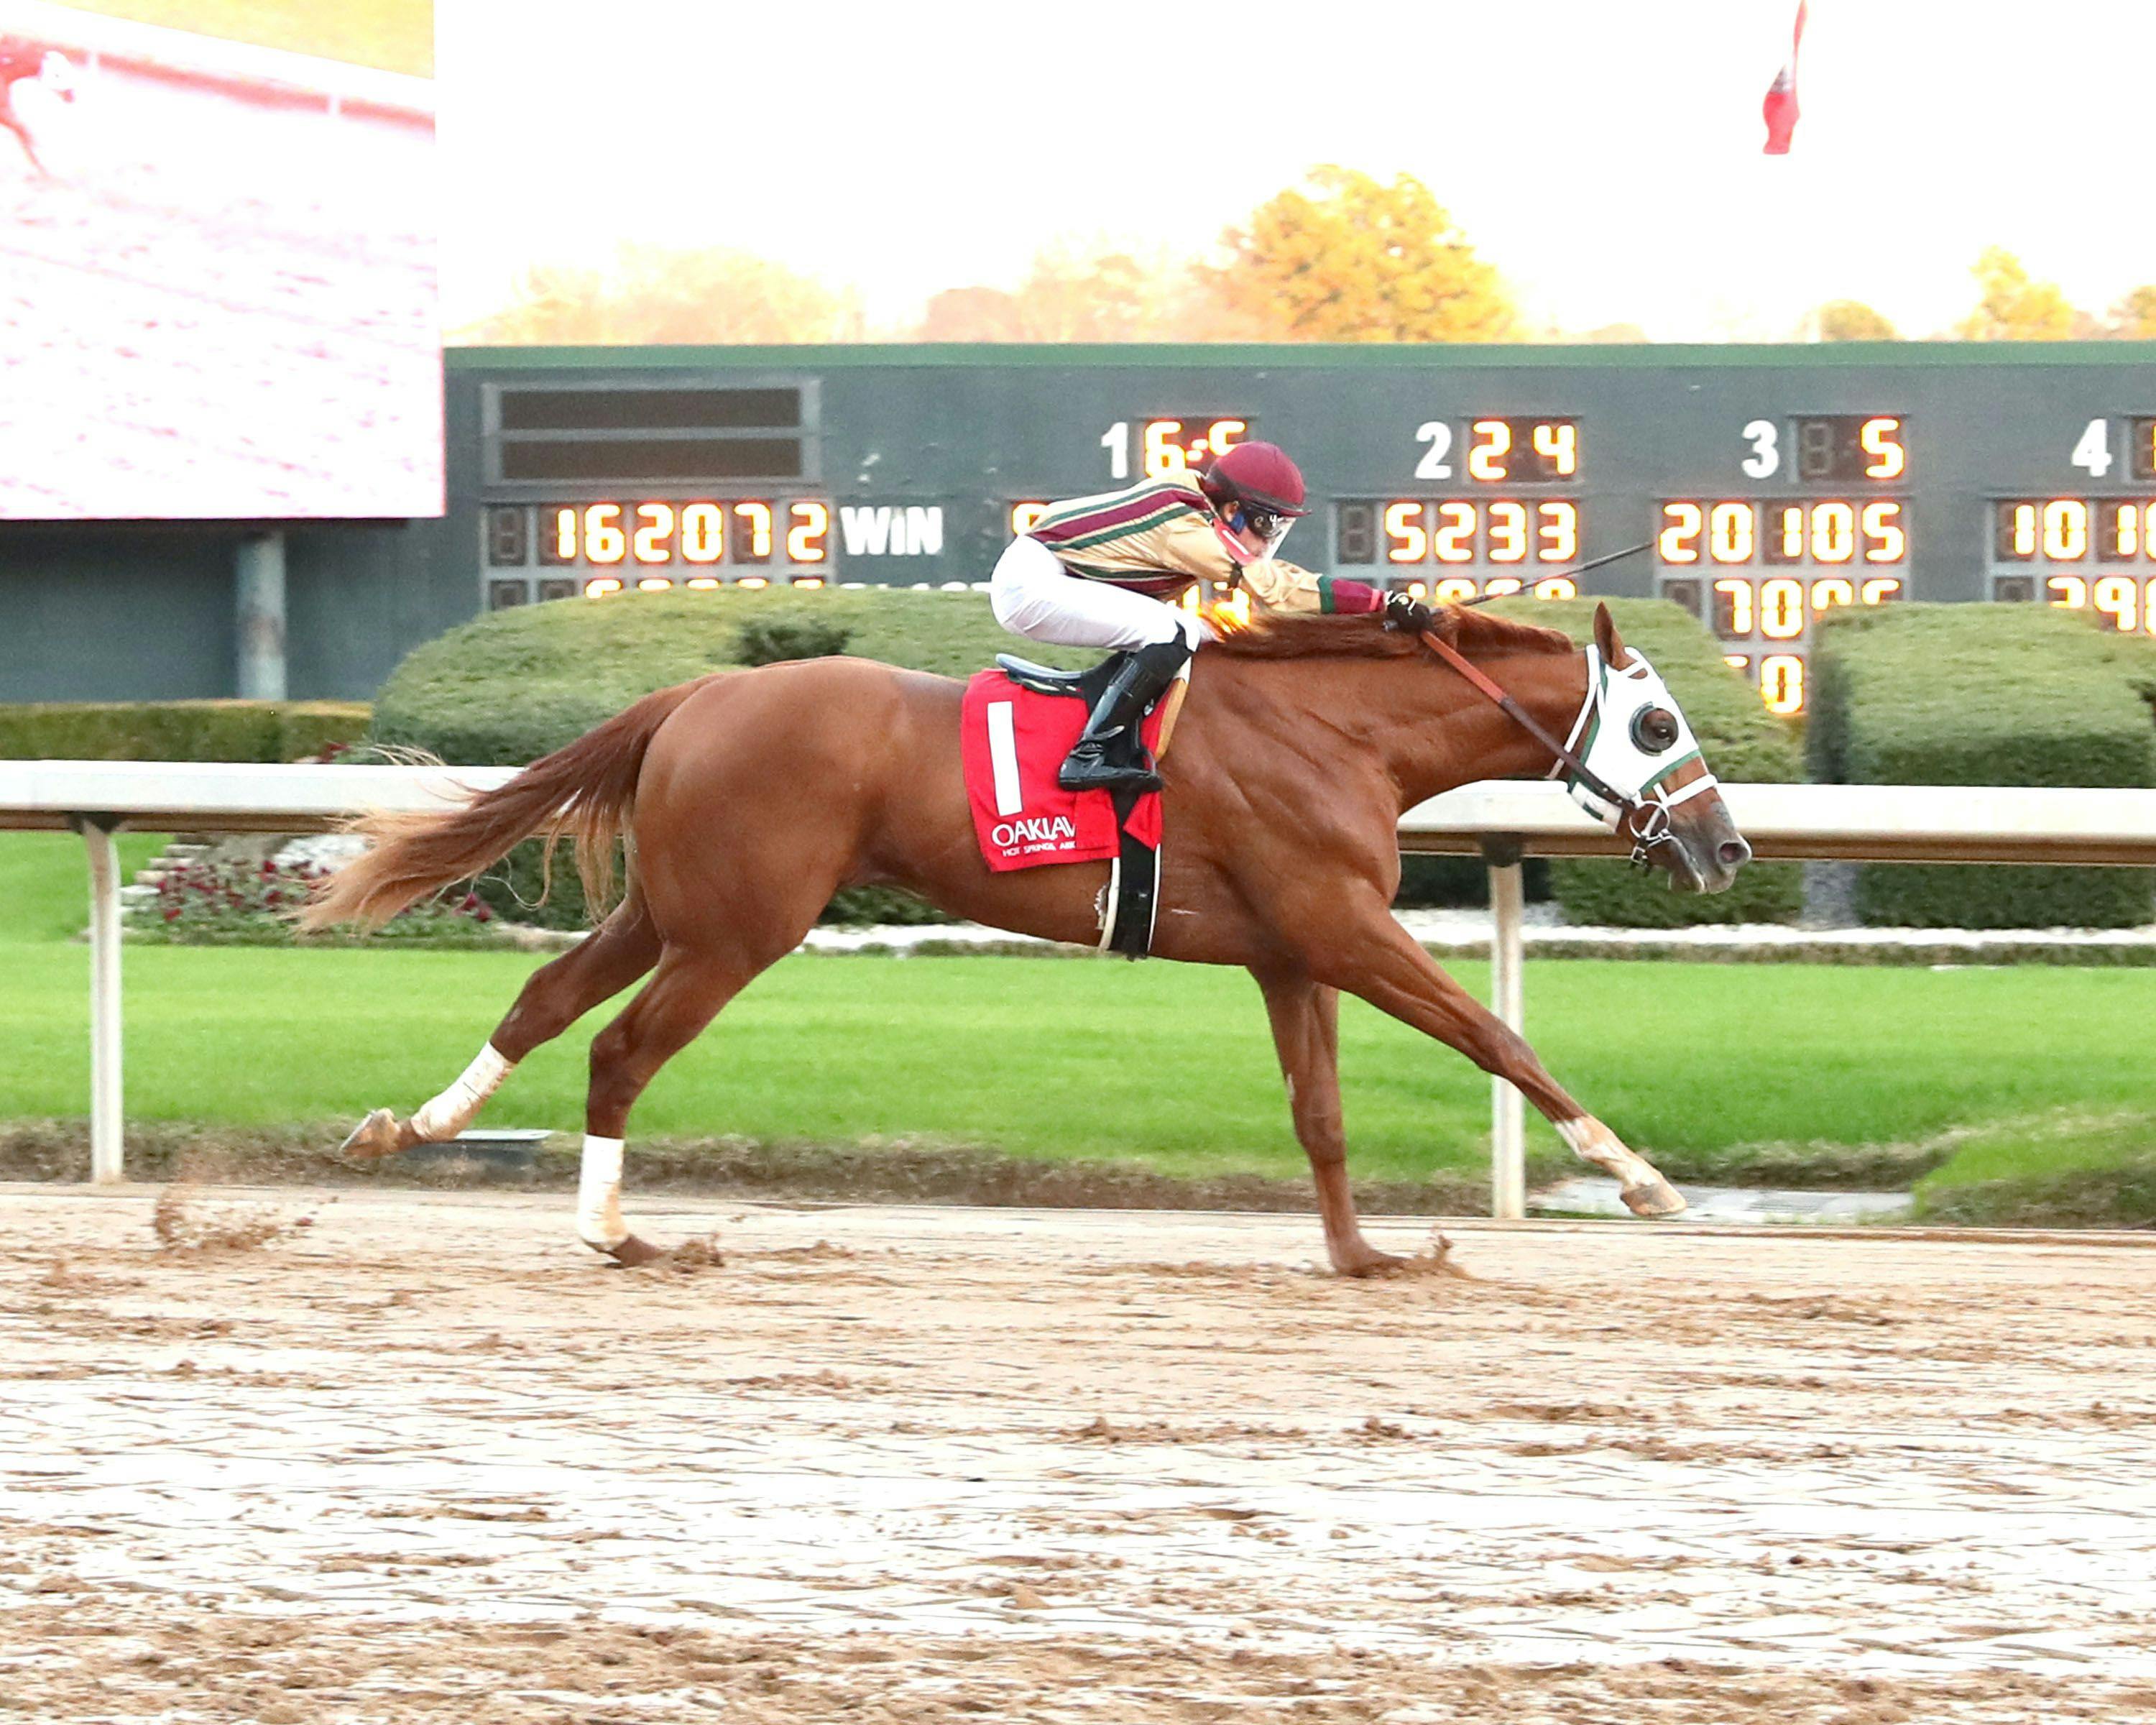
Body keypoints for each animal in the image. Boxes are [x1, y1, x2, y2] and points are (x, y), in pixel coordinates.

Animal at [304, 604, 1751, 1268]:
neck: (1336, 734)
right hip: (739, 929)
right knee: (619, 1049)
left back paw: (404, 1129)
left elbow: (1323, 1115)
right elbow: (1498, 1036)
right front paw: (1639, 1176)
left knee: (546, 1001)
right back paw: (618, 1232)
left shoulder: (1294, 952)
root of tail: (698, 691)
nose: (1727, 846)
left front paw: (1361, 1256)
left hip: (675, 906)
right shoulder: (1343, 929)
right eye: (1659, 723)